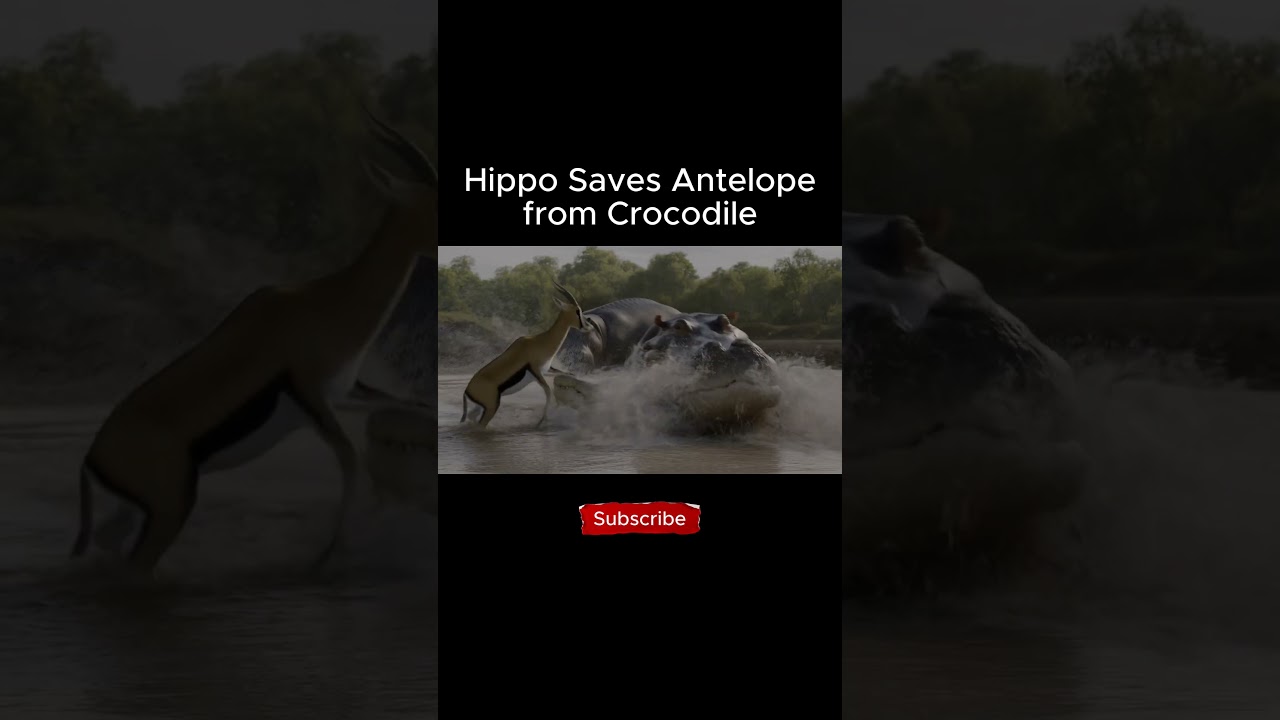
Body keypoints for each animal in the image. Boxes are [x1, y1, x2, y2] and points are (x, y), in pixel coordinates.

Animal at [69, 105, 438, 575]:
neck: (326, 303)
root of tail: (92, 458)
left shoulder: (347, 390)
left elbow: (406, 408)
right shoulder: (312, 396)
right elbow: (350, 462)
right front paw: (326, 557)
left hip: (138, 513)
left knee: (107, 543)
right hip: (169, 512)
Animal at [462, 282, 586, 428]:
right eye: (577, 311)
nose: (586, 326)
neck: (541, 341)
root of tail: (467, 391)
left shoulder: (547, 369)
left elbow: (565, 375)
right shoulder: (536, 371)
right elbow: (548, 392)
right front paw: (541, 422)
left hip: (481, 408)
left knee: (471, 417)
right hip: (491, 408)